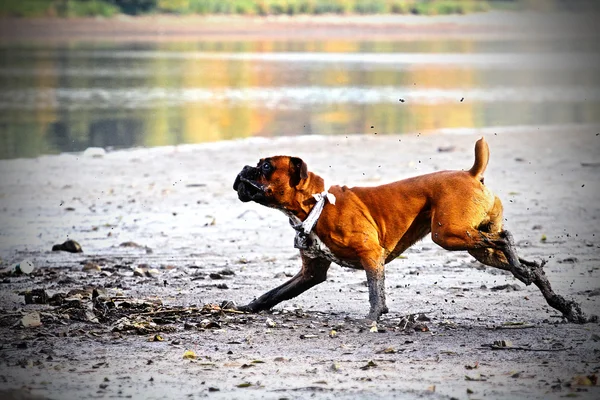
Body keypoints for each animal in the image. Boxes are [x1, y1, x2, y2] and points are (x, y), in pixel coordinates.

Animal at [234, 138, 584, 322]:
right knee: (531, 265)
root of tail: (471, 174)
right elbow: (273, 293)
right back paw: (560, 302)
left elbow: (376, 293)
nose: (244, 168)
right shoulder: (311, 273)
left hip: (449, 234)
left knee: (506, 238)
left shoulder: (370, 255)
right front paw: (246, 307)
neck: (316, 205)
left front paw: (372, 319)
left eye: (266, 167)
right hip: (477, 246)